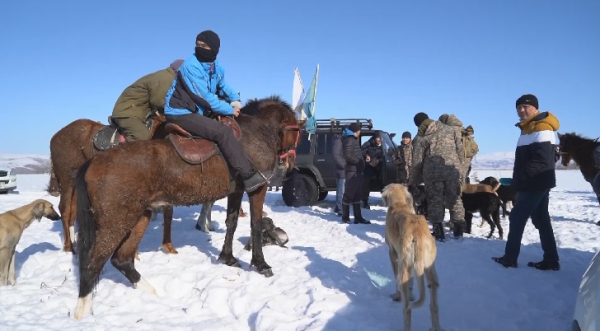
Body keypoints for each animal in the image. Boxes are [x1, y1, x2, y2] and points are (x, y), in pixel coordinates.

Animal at [49, 115, 176, 253]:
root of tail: (54, 138)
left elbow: (168, 213)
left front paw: (169, 246)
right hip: (67, 180)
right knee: (65, 210)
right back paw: (68, 246)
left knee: (72, 212)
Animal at [74, 95, 300, 320]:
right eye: (298, 132)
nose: (289, 164)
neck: (256, 130)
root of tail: (94, 161)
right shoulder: (257, 188)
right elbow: (255, 224)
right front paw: (261, 264)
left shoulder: (236, 191)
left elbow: (232, 223)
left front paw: (227, 257)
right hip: (114, 224)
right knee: (92, 265)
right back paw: (82, 313)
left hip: (140, 216)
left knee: (122, 260)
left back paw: (152, 293)